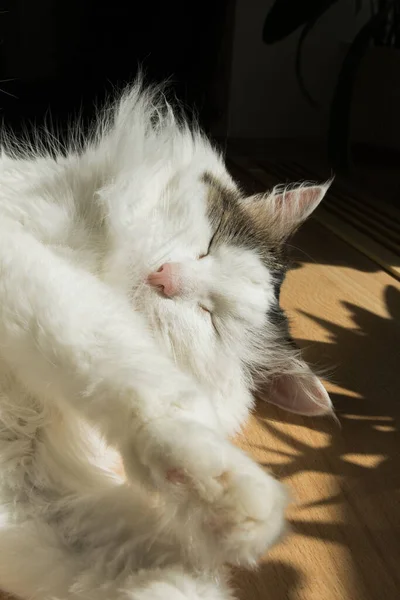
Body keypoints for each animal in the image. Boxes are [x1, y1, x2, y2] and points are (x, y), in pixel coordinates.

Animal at [0, 81, 332, 600]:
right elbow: (123, 368)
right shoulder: (38, 273)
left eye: (211, 319)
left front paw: (223, 509)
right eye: (208, 246)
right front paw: (227, 479)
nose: (165, 278)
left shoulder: (31, 493)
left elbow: (169, 578)